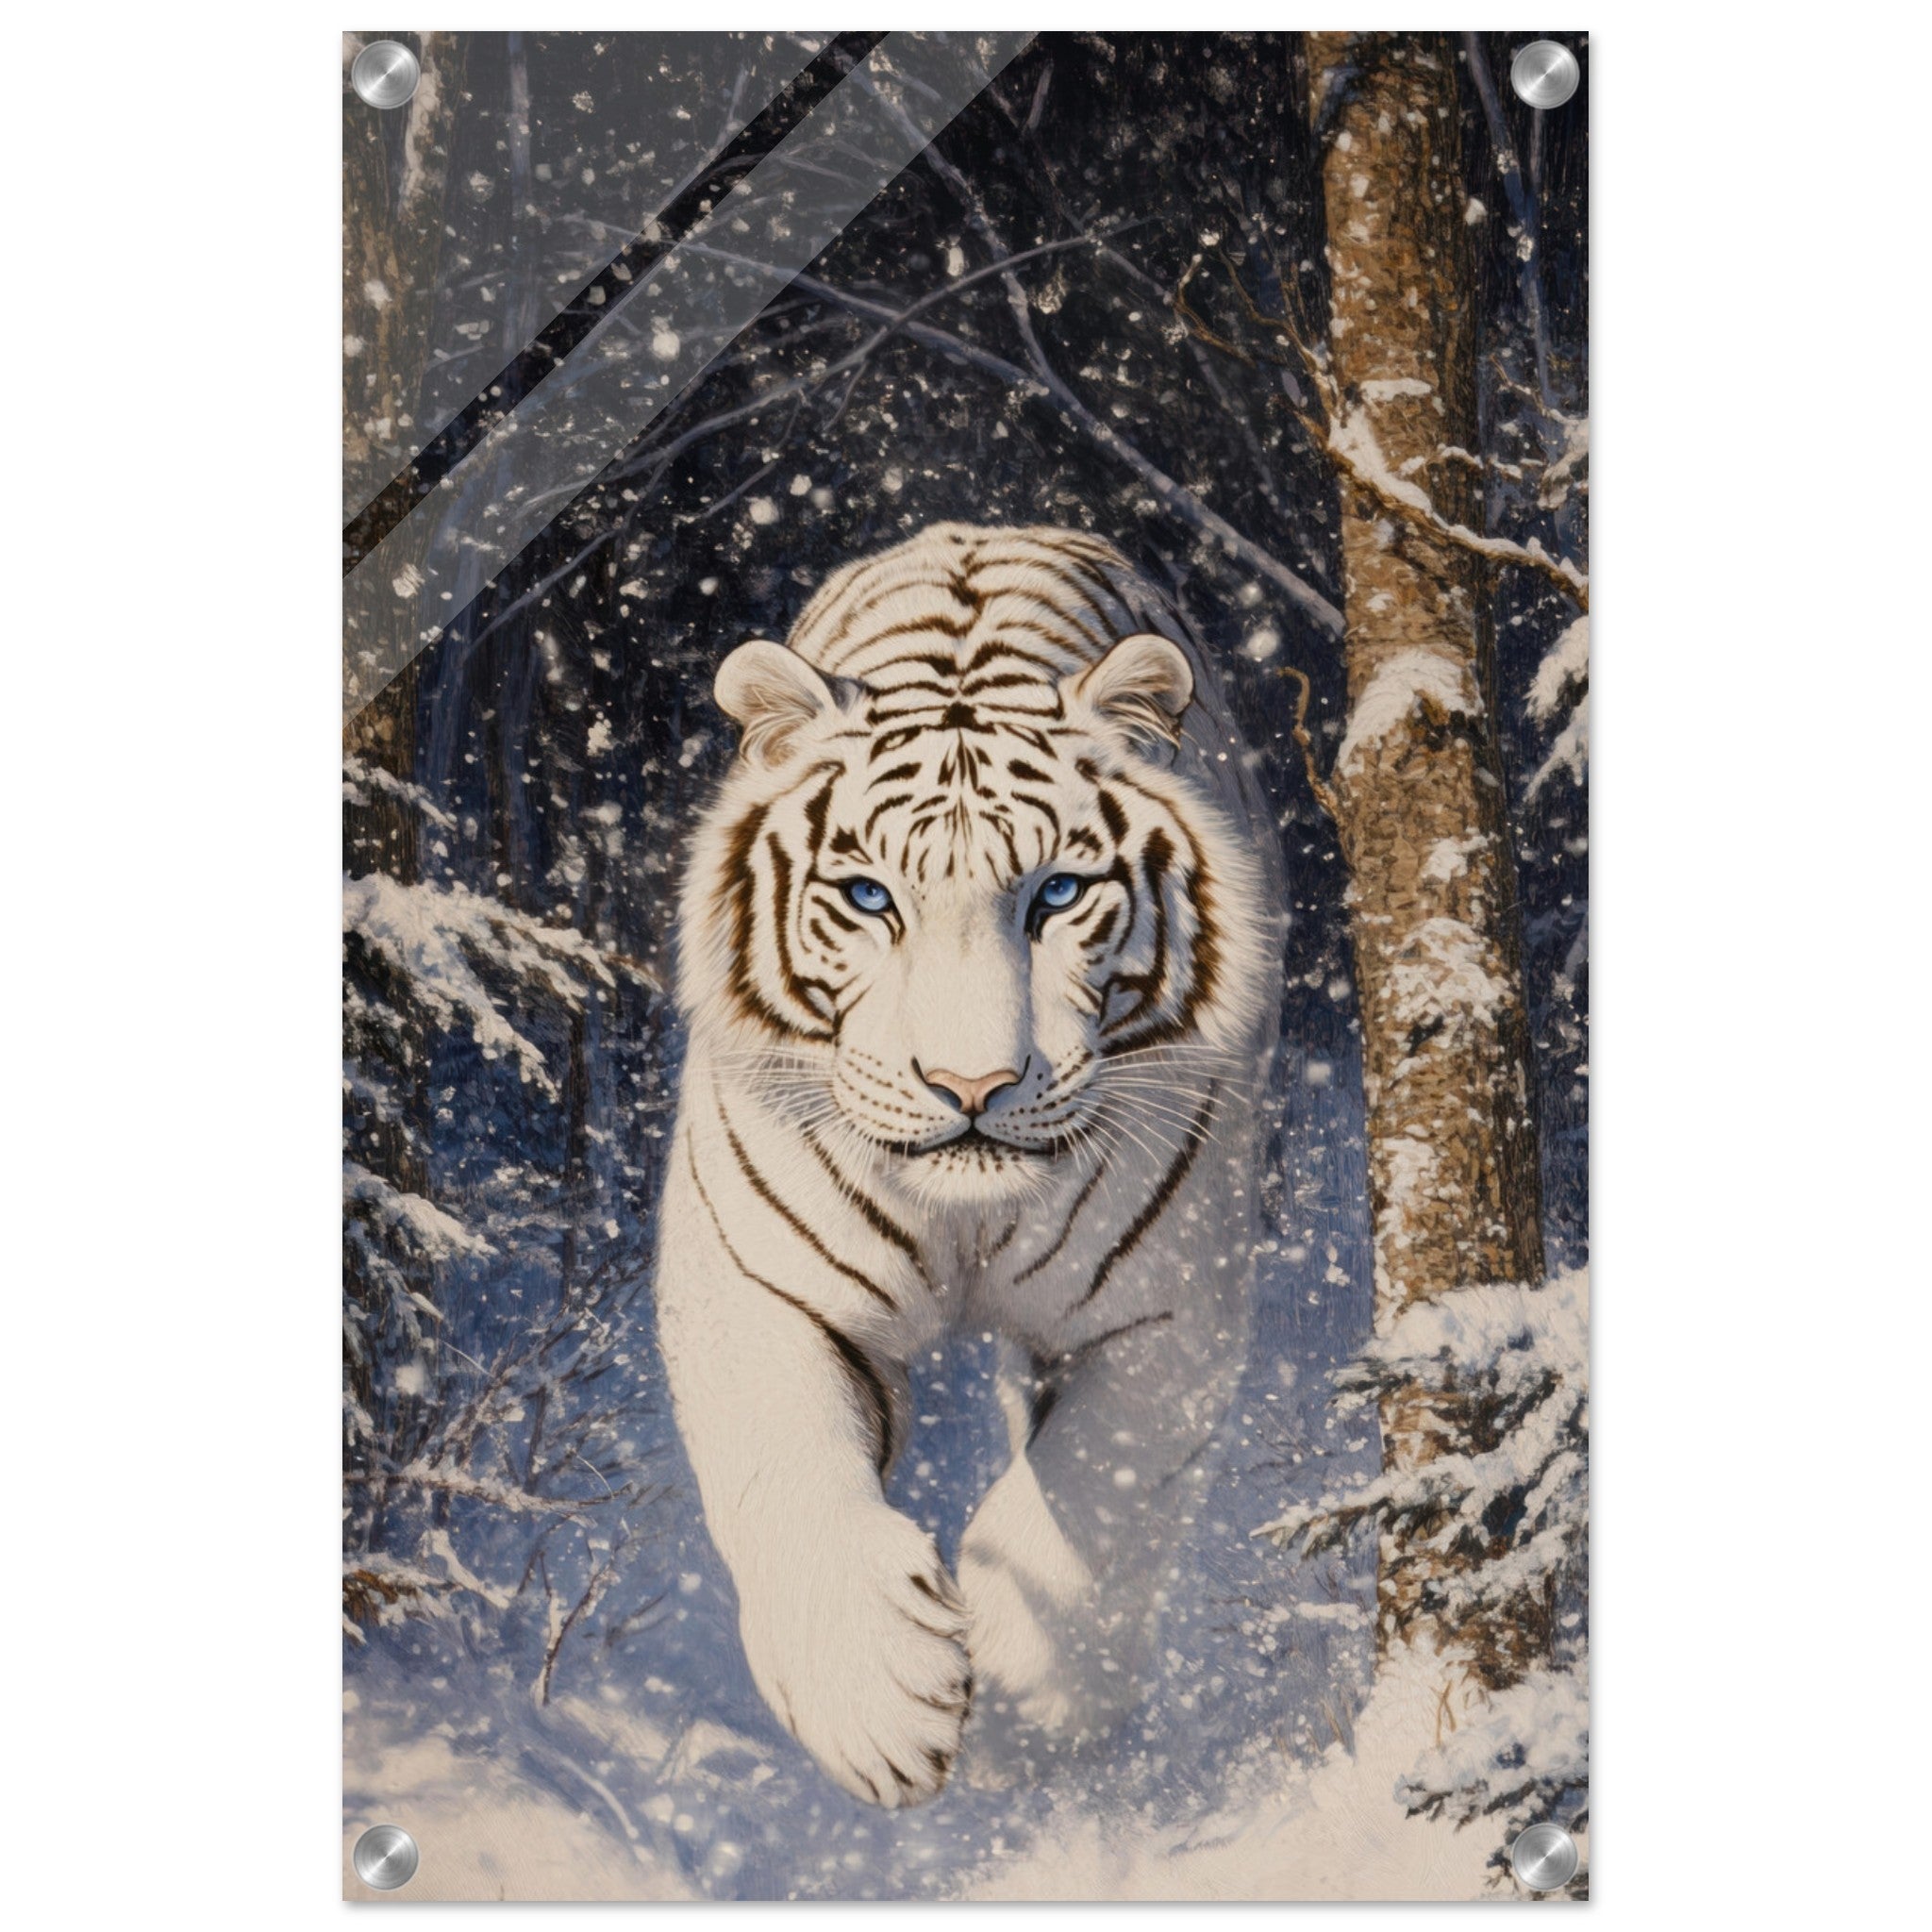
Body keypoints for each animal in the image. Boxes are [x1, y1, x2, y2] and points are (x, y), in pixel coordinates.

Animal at [654, 523, 1285, 1808]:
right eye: (865, 896)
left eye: (1057, 892)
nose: (970, 1087)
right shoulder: (751, 1281)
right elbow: (784, 1465)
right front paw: (873, 1701)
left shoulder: (1164, 1305)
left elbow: (1092, 1495)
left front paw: (1028, 1713)